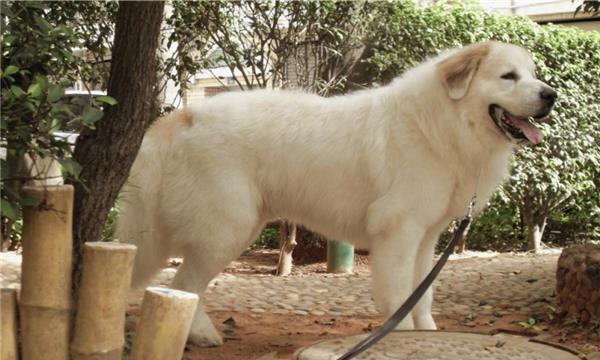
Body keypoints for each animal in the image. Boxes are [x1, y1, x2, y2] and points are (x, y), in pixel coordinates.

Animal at [115, 41, 556, 346]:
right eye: (509, 76)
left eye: (533, 73)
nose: (550, 94)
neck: (443, 124)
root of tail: (185, 115)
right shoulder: (399, 231)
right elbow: (399, 294)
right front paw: (401, 338)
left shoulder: (426, 237)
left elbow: (423, 293)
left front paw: (426, 334)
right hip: (227, 229)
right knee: (185, 283)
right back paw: (201, 335)